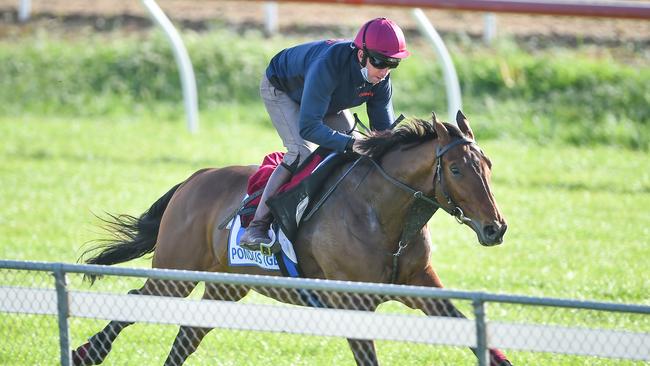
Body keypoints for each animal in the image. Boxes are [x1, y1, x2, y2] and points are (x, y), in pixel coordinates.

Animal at [69, 111, 506, 366]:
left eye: (487, 164)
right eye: (455, 169)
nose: (495, 228)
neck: (381, 213)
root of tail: (195, 178)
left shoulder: (420, 285)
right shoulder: (353, 303)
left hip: (225, 286)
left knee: (187, 337)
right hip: (175, 272)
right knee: (136, 300)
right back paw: (87, 352)